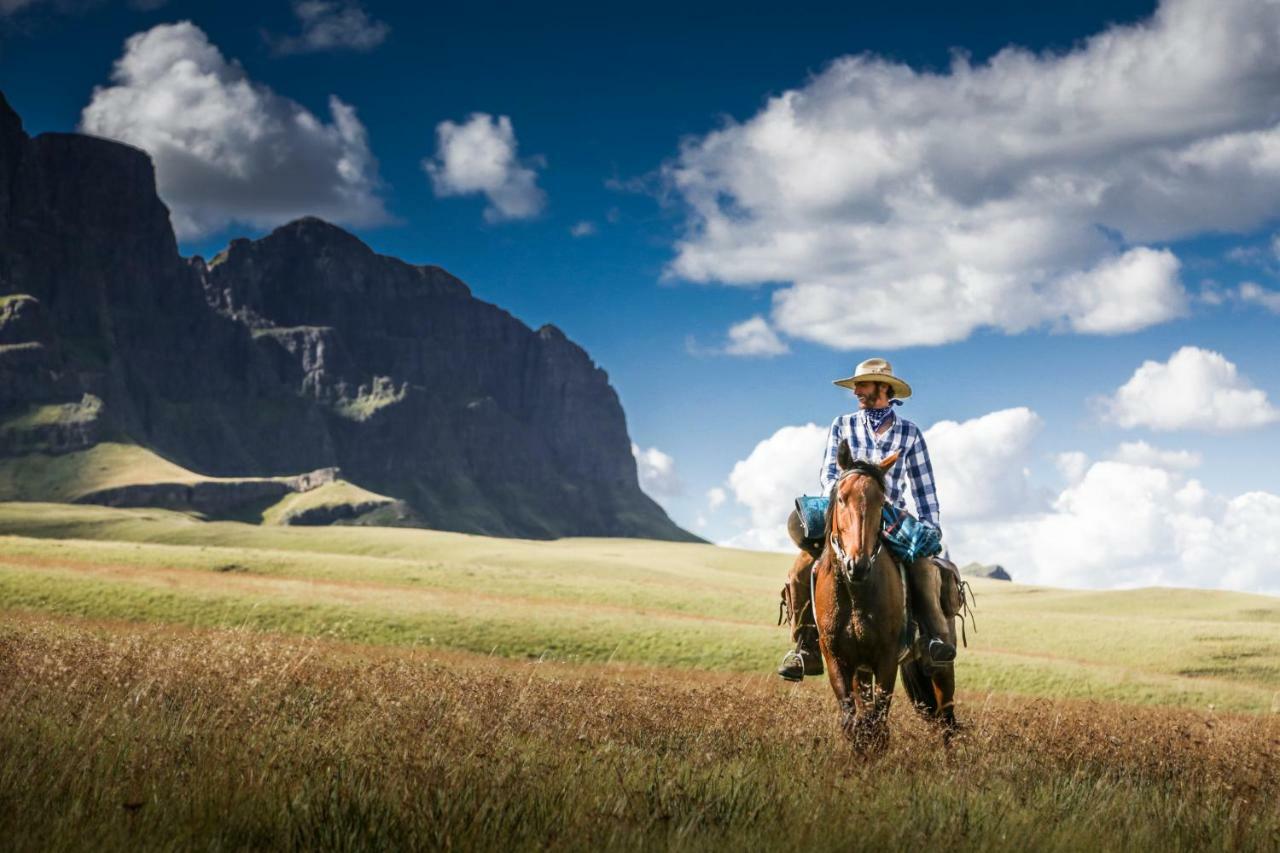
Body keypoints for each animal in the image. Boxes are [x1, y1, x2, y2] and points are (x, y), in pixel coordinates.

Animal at [814, 440, 957, 747]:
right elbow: (854, 725)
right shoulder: (838, 660)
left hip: (940, 666)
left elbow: (877, 726)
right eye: (841, 498)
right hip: (864, 671)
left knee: (947, 720)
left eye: (881, 502)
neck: (856, 595)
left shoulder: (887, 659)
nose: (858, 565)